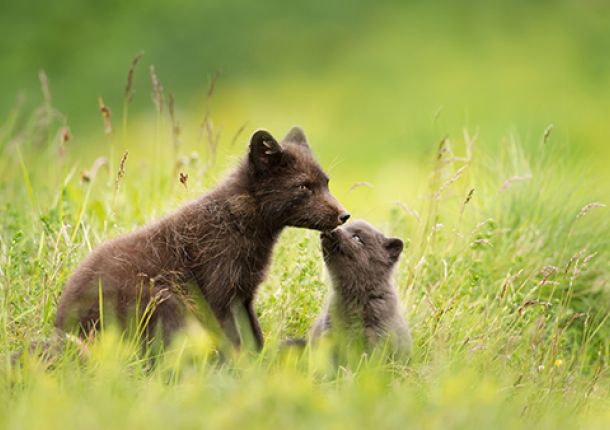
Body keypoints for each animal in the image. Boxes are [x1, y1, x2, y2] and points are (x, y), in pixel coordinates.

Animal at [54, 127, 350, 350]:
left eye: (326, 182)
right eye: (304, 186)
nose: (344, 215)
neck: (236, 223)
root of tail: (61, 324)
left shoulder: (243, 293)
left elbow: (254, 337)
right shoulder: (220, 291)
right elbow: (235, 340)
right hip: (162, 299)